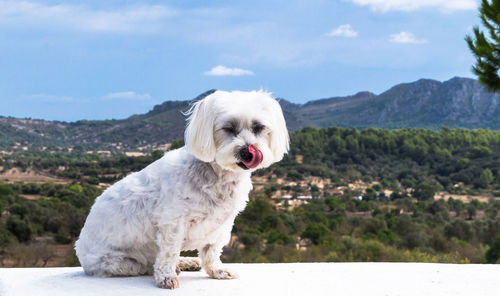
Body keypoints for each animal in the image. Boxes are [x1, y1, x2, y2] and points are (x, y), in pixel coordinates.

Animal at [73, 90, 290, 290]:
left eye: (258, 127)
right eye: (228, 128)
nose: (247, 151)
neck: (217, 175)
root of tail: (79, 247)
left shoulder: (222, 223)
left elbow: (212, 250)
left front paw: (217, 271)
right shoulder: (173, 222)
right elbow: (169, 252)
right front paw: (166, 277)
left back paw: (185, 262)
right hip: (119, 262)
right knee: (147, 265)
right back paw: (174, 267)